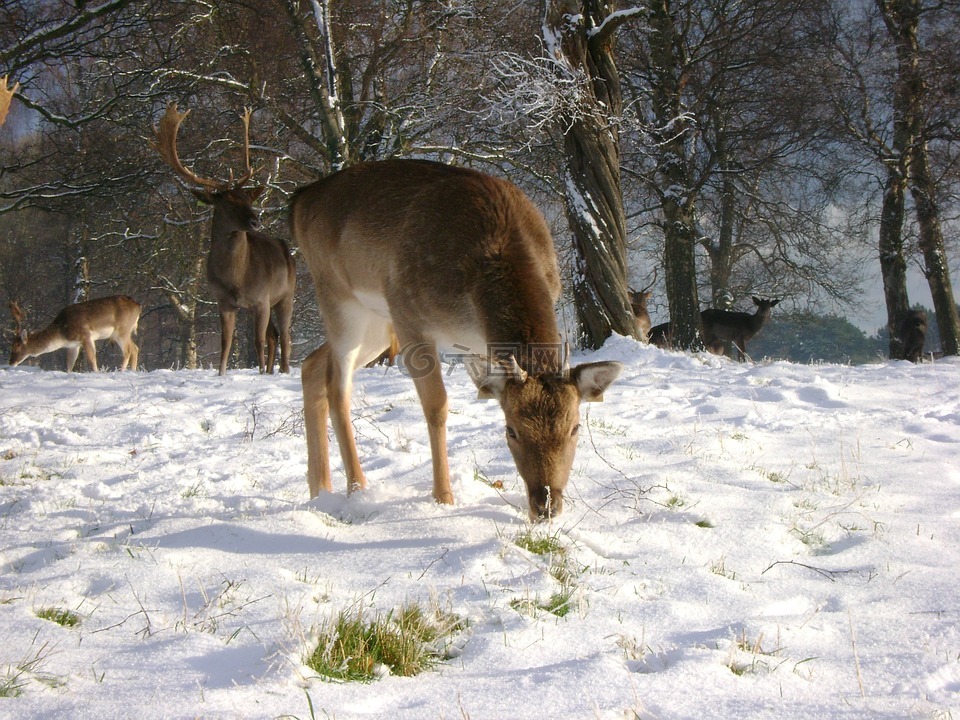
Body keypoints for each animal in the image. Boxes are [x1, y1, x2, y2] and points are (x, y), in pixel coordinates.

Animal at [8, 296, 141, 372]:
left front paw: (96, 373)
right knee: (135, 348)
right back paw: (132, 371)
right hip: (123, 333)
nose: (11, 363)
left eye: (16, 347)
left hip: (122, 331)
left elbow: (92, 359)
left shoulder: (85, 336)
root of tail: (138, 306)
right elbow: (69, 365)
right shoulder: (73, 345)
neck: (62, 334)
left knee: (128, 350)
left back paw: (122, 371)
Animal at [152, 105, 294, 382]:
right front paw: (222, 373)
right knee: (274, 336)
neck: (236, 278)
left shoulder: (261, 298)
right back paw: (271, 370)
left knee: (284, 336)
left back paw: (282, 370)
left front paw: (259, 372)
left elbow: (258, 342)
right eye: (227, 203)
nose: (255, 221)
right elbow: (225, 342)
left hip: (286, 294)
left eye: (248, 199)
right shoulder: (223, 301)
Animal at [290, 160, 624, 520]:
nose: (546, 505)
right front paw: (443, 498)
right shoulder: (408, 316)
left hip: (376, 321)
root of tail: (300, 200)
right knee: (338, 386)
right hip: (339, 298)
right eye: (511, 430)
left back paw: (319, 490)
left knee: (312, 365)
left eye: (575, 427)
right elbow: (437, 406)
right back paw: (357, 489)